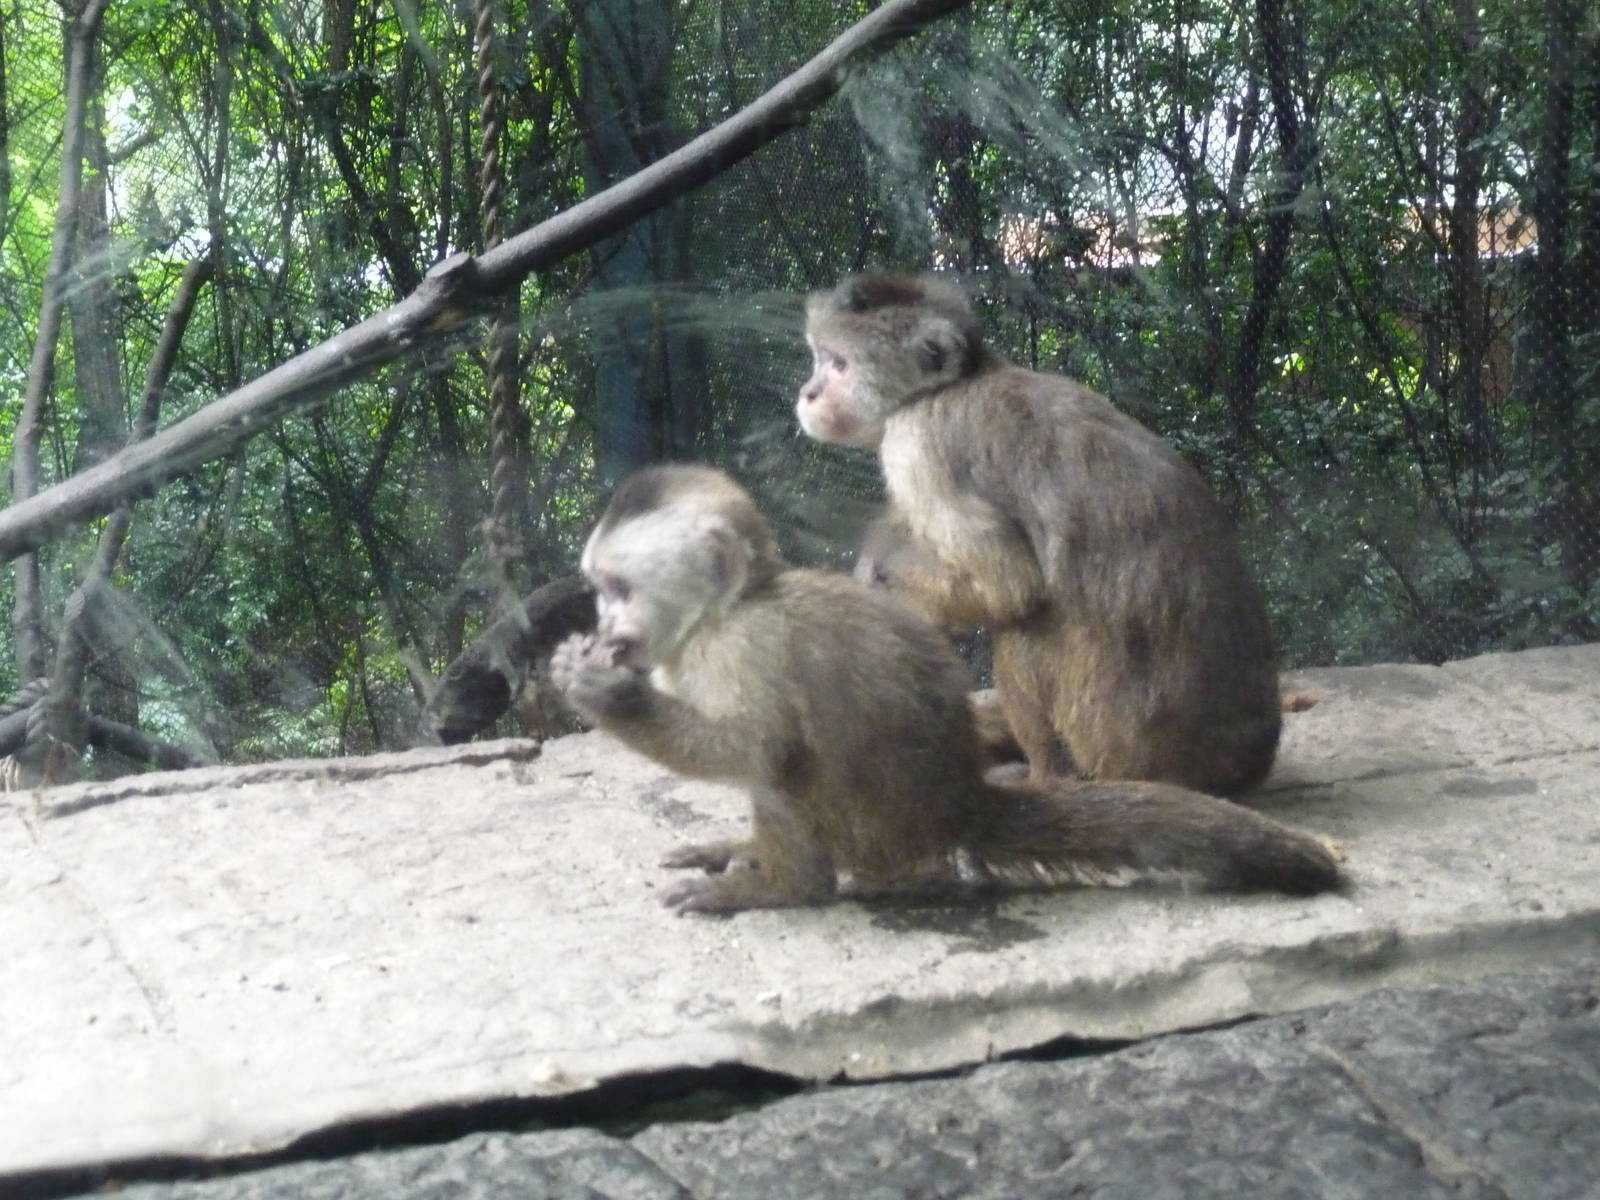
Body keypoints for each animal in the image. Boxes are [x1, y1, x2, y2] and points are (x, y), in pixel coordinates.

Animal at [550, 464, 1340, 915]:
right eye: (598, 591)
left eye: (618, 589)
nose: (604, 623)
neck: (724, 613)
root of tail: (960, 802)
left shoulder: (748, 648)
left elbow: (757, 748)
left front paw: (613, 698)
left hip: (874, 829)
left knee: (786, 770)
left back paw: (781, 889)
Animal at [797, 271, 1282, 797]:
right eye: (820, 359)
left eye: (839, 364)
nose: (808, 392)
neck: (953, 385)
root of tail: (1230, 768)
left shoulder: (918, 443)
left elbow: (1007, 586)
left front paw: (878, 579)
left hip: (1113, 737)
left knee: (1023, 624)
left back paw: (1045, 776)